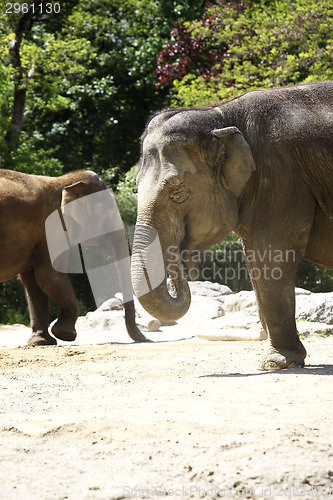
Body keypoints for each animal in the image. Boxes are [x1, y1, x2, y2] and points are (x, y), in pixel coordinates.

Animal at [0, 168, 147, 344]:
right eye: (111, 211)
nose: (146, 339)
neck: (64, 182)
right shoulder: (53, 228)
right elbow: (49, 276)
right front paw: (65, 334)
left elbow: (33, 281)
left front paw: (41, 342)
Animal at [131, 81, 332, 372]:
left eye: (177, 193)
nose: (182, 264)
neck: (222, 116)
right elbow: (255, 264)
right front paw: (279, 361)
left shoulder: (282, 179)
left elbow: (270, 259)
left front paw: (275, 363)